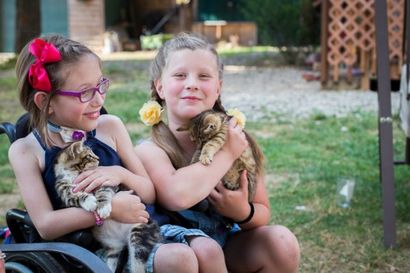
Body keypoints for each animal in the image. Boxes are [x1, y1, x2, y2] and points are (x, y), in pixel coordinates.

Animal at [51, 141, 160, 270]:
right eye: (89, 155)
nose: (98, 158)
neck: (73, 174)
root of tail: (123, 239)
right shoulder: (65, 192)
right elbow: (77, 197)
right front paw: (90, 202)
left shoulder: (105, 182)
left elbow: (103, 193)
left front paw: (102, 207)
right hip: (113, 247)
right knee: (112, 260)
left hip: (139, 231)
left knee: (137, 262)